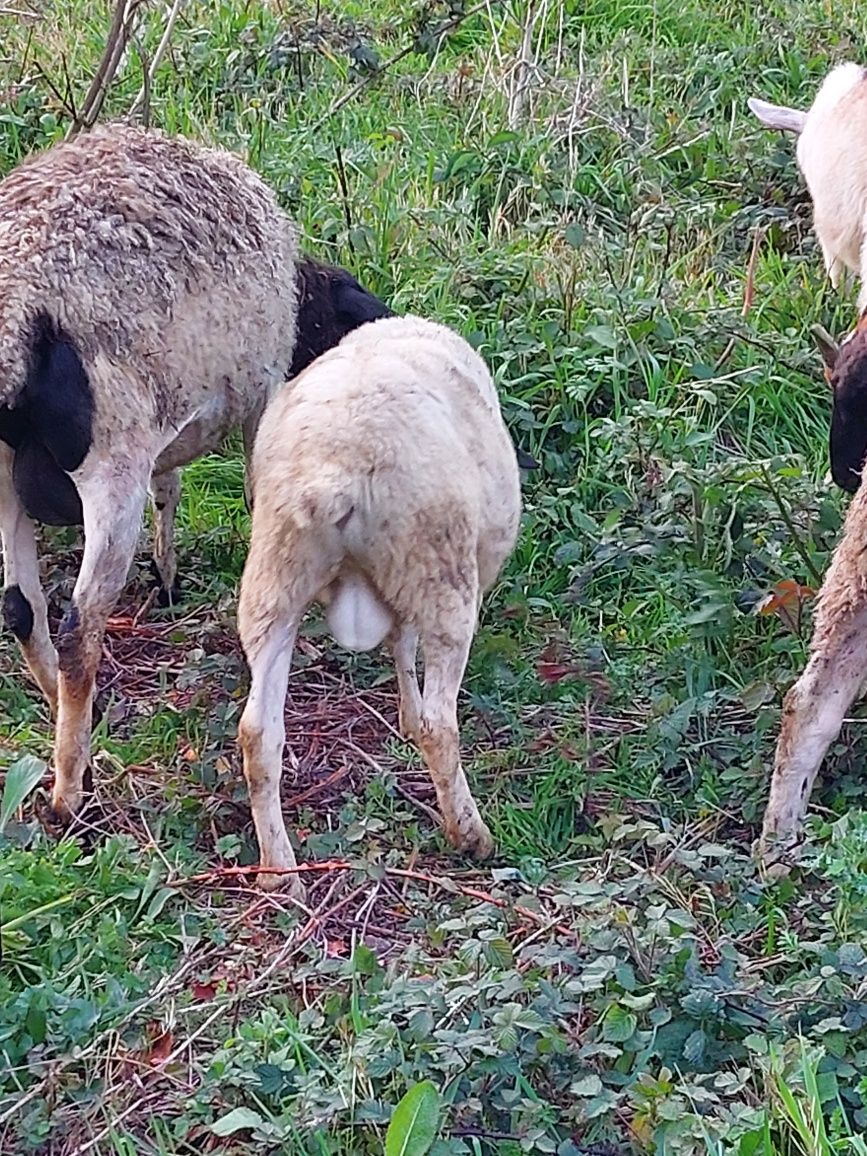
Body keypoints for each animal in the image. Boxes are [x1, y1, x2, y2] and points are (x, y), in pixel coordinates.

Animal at [235, 309, 522, 892]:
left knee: (258, 733)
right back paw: (470, 834)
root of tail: (333, 471)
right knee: (441, 724)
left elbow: (398, 643)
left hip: (275, 576)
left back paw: (279, 870)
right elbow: (407, 650)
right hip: (439, 571)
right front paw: (411, 715)